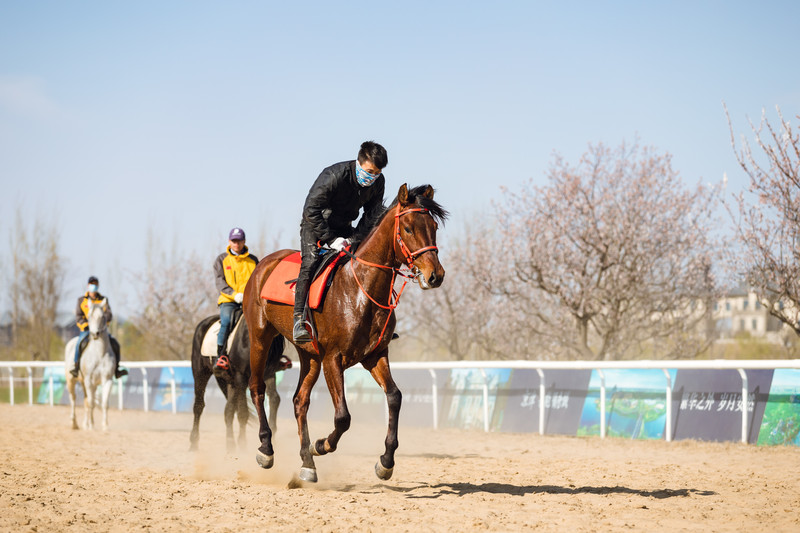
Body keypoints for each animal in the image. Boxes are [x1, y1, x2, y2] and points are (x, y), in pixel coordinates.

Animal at [64, 298, 116, 431]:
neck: (99, 354)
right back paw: (74, 423)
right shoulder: (88, 380)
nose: (95, 334)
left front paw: (105, 426)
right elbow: (91, 403)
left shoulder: (107, 380)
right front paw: (92, 425)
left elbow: (104, 403)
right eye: (89, 316)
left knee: (86, 401)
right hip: (71, 381)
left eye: (102, 316)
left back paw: (84, 424)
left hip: (86, 383)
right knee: (73, 399)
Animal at [189, 313, 290, 452]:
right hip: (200, 373)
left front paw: (272, 437)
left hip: (230, 382)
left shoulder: (269, 374)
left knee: (229, 410)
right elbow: (243, 412)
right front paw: (243, 445)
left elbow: (274, 399)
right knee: (198, 406)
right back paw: (194, 443)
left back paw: (230, 445)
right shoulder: (240, 377)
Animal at [244, 183, 447, 483]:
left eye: (433, 226)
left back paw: (307, 464)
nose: (436, 275)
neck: (360, 288)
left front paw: (385, 462)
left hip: (309, 355)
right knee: (257, 389)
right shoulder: (333, 359)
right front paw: (321, 445)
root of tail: (264, 263)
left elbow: (395, 397)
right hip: (260, 338)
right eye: (409, 228)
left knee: (299, 401)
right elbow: (343, 417)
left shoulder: (375, 355)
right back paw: (266, 449)